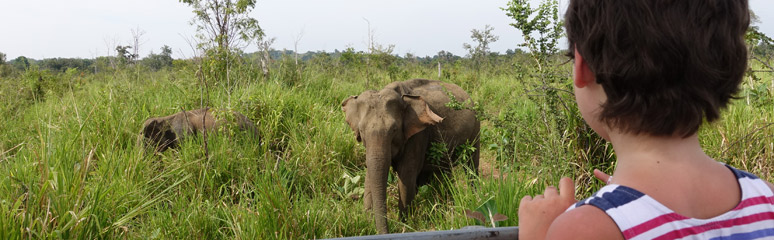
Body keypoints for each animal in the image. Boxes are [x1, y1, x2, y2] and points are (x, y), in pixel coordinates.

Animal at [344, 79, 482, 234]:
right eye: (361, 130)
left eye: (394, 130)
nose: (385, 231)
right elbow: (369, 175)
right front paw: (367, 220)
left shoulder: (417, 136)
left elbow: (406, 178)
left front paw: (404, 226)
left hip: (476, 130)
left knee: (471, 167)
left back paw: (476, 198)